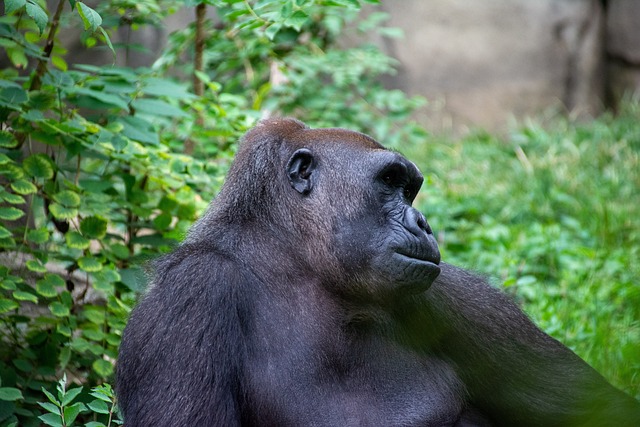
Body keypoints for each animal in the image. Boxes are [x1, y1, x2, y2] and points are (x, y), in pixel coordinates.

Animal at [116, 118, 640, 427]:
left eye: (411, 189)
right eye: (390, 182)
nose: (422, 223)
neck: (296, 263)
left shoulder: (462, 298)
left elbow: (603, 410)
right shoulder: (188, 297)